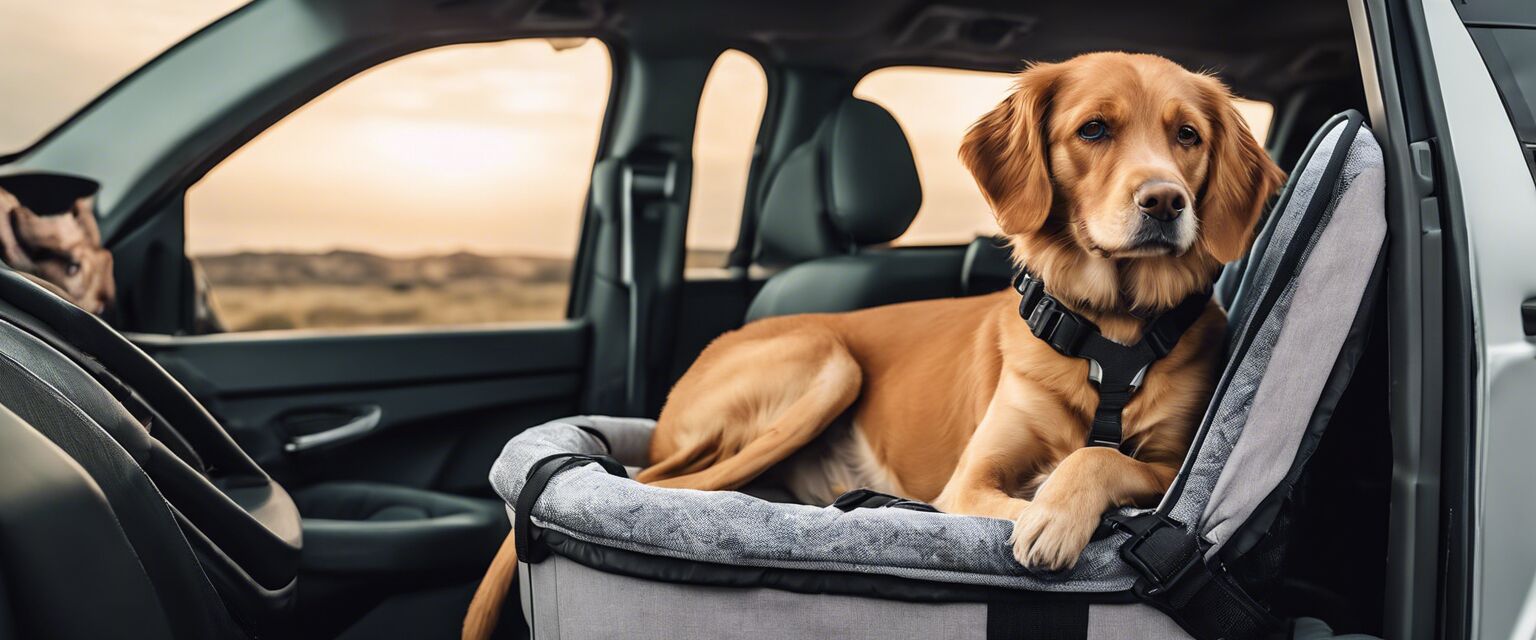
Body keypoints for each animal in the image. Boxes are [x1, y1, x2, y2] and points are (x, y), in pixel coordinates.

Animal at [463, 52, 1284, 635]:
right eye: (1094, 130)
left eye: (1187, 136)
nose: (1165, 201)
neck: (1108, 338)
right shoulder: (969, 483)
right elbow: (1036, 481)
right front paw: (1047, 512)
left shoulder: (1173, 470)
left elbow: (1100, 459)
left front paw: (1056, 508)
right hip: (828, 368)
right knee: (662, 482)